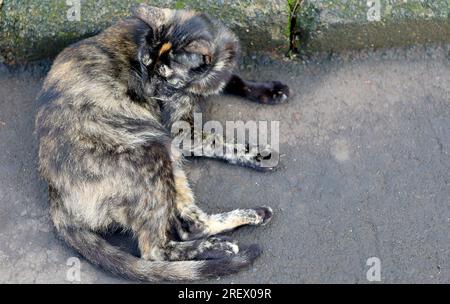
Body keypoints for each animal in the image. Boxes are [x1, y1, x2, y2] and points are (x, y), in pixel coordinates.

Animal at [34, 4, 288, 282]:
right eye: (145, 65)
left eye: (166, 76)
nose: (146, 90)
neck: (207, 77)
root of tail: (55, 193)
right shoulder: (183, 133)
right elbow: (221, 141)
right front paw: (258, 154)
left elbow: (235, 79)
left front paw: (270, 90)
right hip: (155, 149)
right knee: (162, 246)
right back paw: (221, 245)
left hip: (169, 163)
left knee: (186, 223)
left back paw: (252, 217)